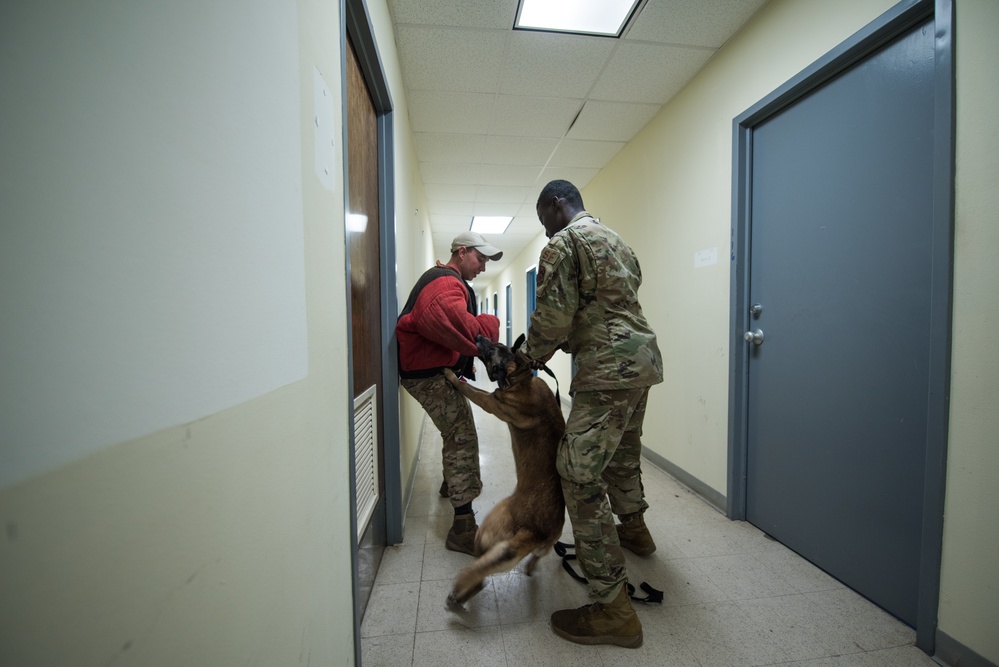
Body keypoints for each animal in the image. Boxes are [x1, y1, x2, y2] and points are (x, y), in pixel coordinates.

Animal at [442, 334, 568, 612]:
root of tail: (534, 530)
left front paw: (451, 375)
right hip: (539, 547)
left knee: (480, 575)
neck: (521, 377)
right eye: (496, 343)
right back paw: (528, 569)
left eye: (493, 350)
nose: (478, 336)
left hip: (489, 528)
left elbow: (471, 390)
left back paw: (458, 597)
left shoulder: (491, 402)